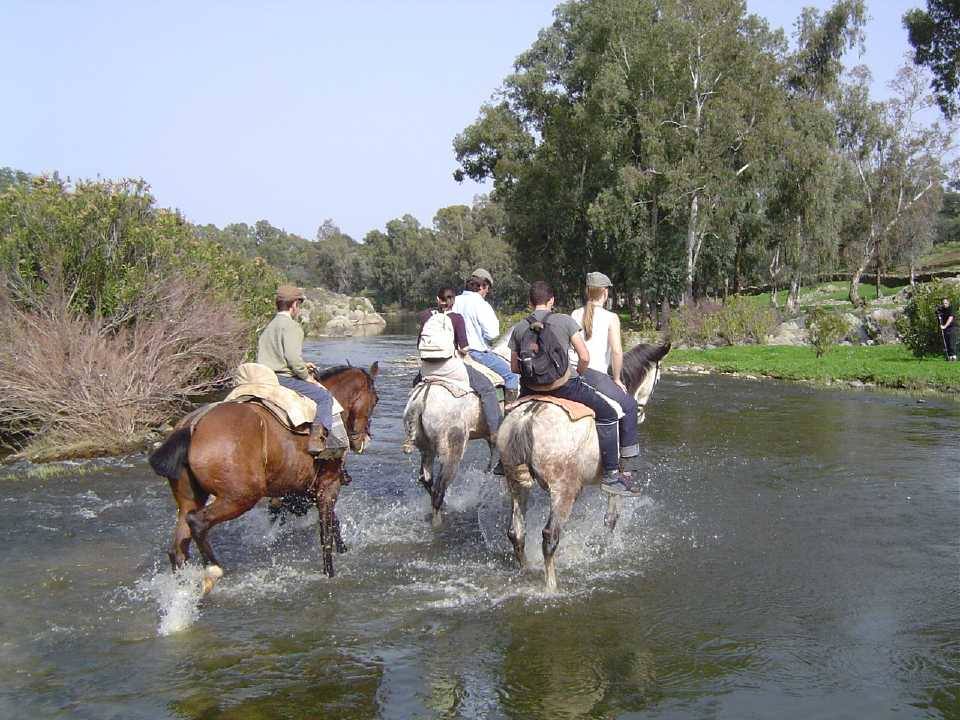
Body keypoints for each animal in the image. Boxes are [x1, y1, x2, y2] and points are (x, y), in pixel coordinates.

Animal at [146, 362, 378, 592]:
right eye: (376, 399)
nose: (363, 440)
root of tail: (193, 425)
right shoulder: (328, 486)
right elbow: (326, 533)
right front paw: (329, 572)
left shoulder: (306, 490)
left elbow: (333, 524)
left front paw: (343, 550)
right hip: (240, 497)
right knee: (197, 522)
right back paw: (212, 571)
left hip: (190, 499)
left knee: (178, 548)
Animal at [498, 344, 672, 592]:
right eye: (657, 379)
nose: (641, 412)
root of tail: (527, 419)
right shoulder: (619, 475)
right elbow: (611, 518)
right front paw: (607, 547)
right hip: (563, 489)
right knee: (550, 537)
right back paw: (552, 587)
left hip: (515, 483)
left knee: (516, 532)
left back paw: (526, 570)